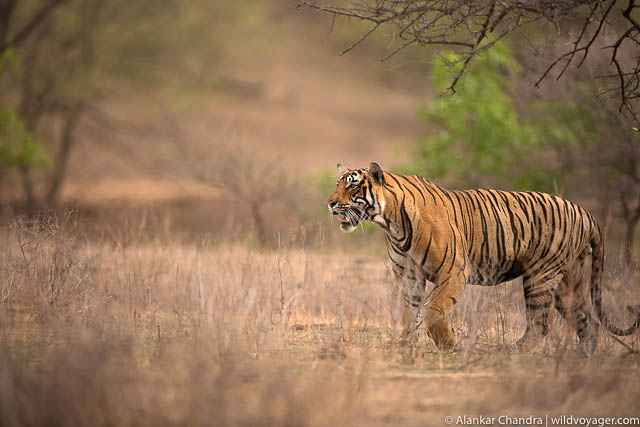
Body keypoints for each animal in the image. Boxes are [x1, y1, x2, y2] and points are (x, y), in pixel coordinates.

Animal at [328, 162, 636, 352]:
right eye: (337, 184)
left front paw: (448, 344)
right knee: (588, 321)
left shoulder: (453, 271)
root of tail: (584, 211)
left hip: (541, 277)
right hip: (567, 283)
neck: (390, 223)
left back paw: (517, 350)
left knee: (540, 323)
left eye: (352, 186)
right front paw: (406, 344)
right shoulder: (408, 276)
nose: (330, 202)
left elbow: (434, 310)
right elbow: (408, 312)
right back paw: (580, 358)